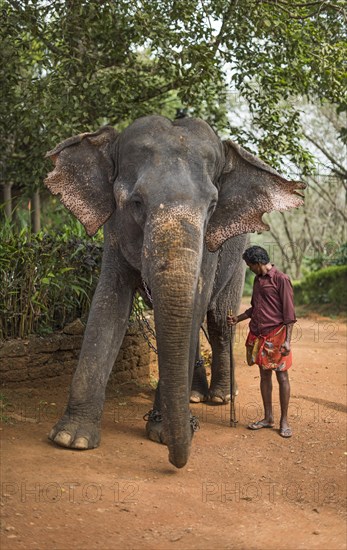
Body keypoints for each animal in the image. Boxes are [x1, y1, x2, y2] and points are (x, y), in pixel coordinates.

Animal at [44, 115, 304, 470]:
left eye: (212, 207)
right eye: (136, 202)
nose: (178, 458)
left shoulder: (211, 248)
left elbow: (194, 306)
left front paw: (162, 434)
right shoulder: (115, 232)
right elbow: (107, 307)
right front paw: (72, 440)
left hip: (238, 257)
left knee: (217, 321)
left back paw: (220, 397)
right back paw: (193, 397)